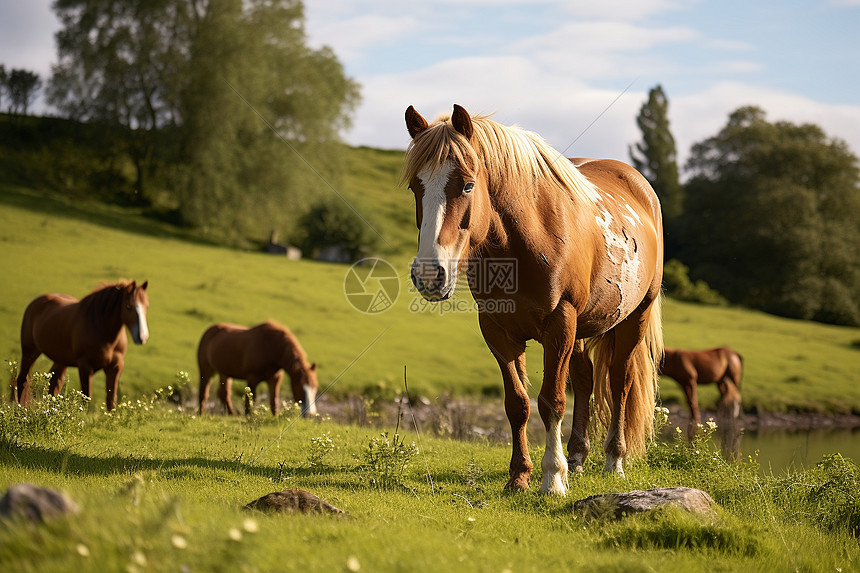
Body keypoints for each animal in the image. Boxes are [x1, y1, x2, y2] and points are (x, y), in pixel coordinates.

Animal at [14, 280, 149, 408]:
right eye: (128, 306)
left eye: (146, 306)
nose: (142, 336)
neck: (101, 328)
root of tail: (36, 302)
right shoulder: (85, 366)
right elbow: (86, 398)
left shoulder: (115, 366)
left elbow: (111, 401)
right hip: (30, 351)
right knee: (23, 380)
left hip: (60, 360)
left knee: (54, 384)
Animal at [404, 101, 664, 492]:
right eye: (415, 187)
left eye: (467, 185)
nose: (428, 275)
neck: (525, 242)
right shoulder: (498, 331)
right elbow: (518, 404)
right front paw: (519, 476)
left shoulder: (560, 324)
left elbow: (552, 402)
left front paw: (552, 478)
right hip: (582, 329)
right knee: (585, 378)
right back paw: (577, 458)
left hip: (635, 317)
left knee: (619, 381)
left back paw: (612, 460)